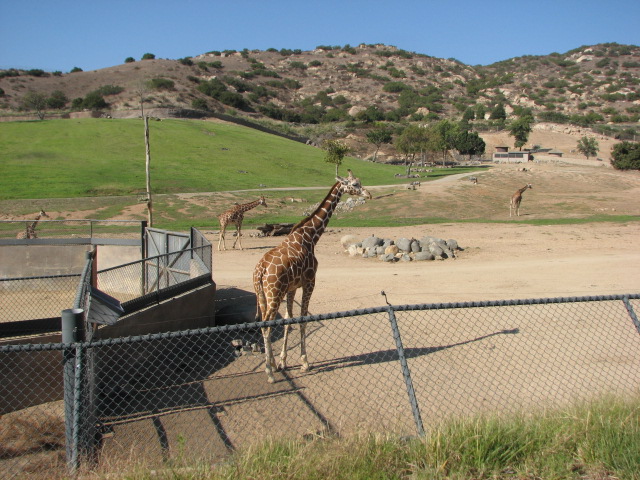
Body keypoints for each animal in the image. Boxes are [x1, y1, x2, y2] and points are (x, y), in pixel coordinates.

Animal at [253, 172, 371, 383]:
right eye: (355, 184)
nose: (368, 194)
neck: (310, 236)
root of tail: (260, 271)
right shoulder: (310, 282)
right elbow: (303, 319)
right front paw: (305, 362)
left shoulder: (292, 287)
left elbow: (289, 319)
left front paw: (283, 361)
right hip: (274, 294)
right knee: (266, 326)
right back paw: (269, 373)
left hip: (262, 295)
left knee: (263, 324)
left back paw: (273, 364)